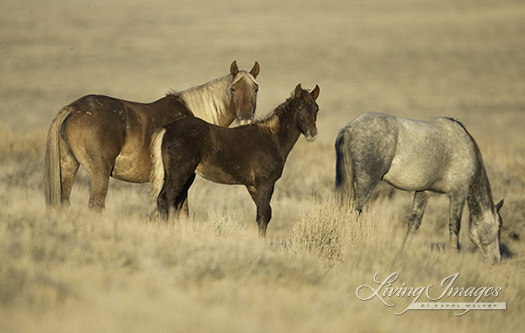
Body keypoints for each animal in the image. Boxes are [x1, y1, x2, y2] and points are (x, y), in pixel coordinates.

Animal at [45, 60, 260, 209]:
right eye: (233, 89)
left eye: (256, 89)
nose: (245, 117)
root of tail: (73, 108)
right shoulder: (184, 178)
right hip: (100, 172)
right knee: (96, 204)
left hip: (69, 166)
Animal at [148, 84, 320, 237]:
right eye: (299, 108)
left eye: (316, 109)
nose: (312, 133)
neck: (271, 138)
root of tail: (167, 129)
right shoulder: (265, 183)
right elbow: (263, 216)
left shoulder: (252, 186)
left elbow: (264, 214)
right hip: (179, 175)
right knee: (165, 200)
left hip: (186, 177)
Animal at [336, 113, 504, 264]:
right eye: (499, 226)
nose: (496, 260)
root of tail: (350, 127)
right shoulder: (459, 194)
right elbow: (454, 225)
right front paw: (454, 254)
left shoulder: (424, 192)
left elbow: (414, 223)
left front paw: (403, 250)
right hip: (366, 183)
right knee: (354, 211)